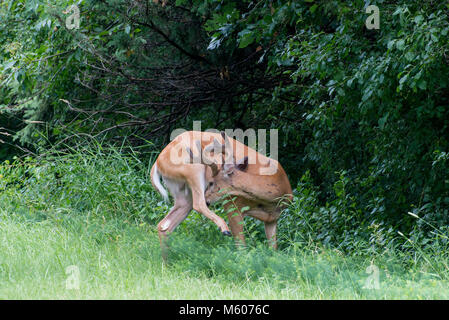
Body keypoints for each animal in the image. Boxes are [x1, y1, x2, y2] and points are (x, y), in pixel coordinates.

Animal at [149, 130, 292, 260]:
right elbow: (241, 246)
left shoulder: (272, 219)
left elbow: (274, 249)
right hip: (193, 169)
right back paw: (224, 229)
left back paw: (167, 264)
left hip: (182, 194)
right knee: (198, 204)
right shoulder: (233, 206)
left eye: (212, 182)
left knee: (164, 226)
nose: (208, 199)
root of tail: (157, 162)